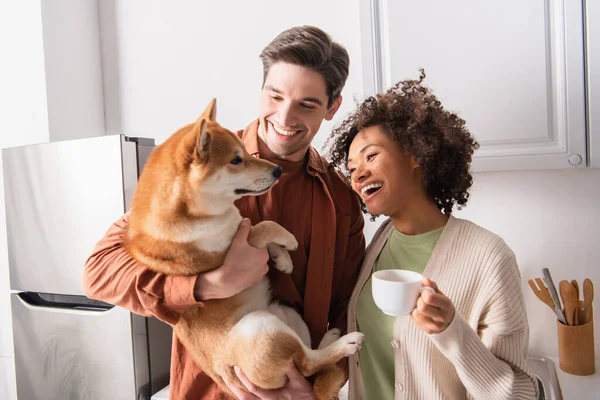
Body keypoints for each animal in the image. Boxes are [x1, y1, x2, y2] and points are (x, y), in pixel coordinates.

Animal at [124, 99, 364, 396]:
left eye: (244, 151)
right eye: (236, 160)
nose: (277, 171)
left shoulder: (241, 227)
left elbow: (258, 227)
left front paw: (282, 259)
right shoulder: (235, 245)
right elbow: (263, 226)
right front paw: (288, 242)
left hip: (287, 314)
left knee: (308, 361)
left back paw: (330, 337)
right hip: (260, 327)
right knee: (308, 363)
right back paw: (346, 343)